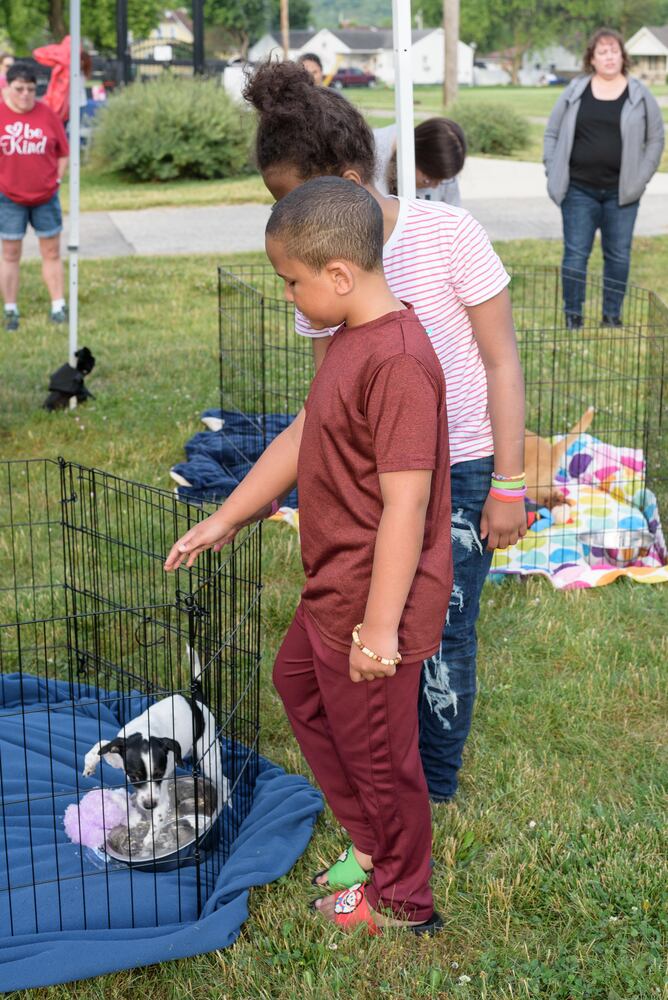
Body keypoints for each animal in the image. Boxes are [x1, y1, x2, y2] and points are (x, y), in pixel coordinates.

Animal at [82, 648, 228, 828]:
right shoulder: (119, 755)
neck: (145, 730)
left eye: (159, 774)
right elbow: (102, 744)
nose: (149, 805)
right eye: (134, 777)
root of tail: (197, 702)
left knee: (224, 782)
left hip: (208, 757)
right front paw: (89, 764)